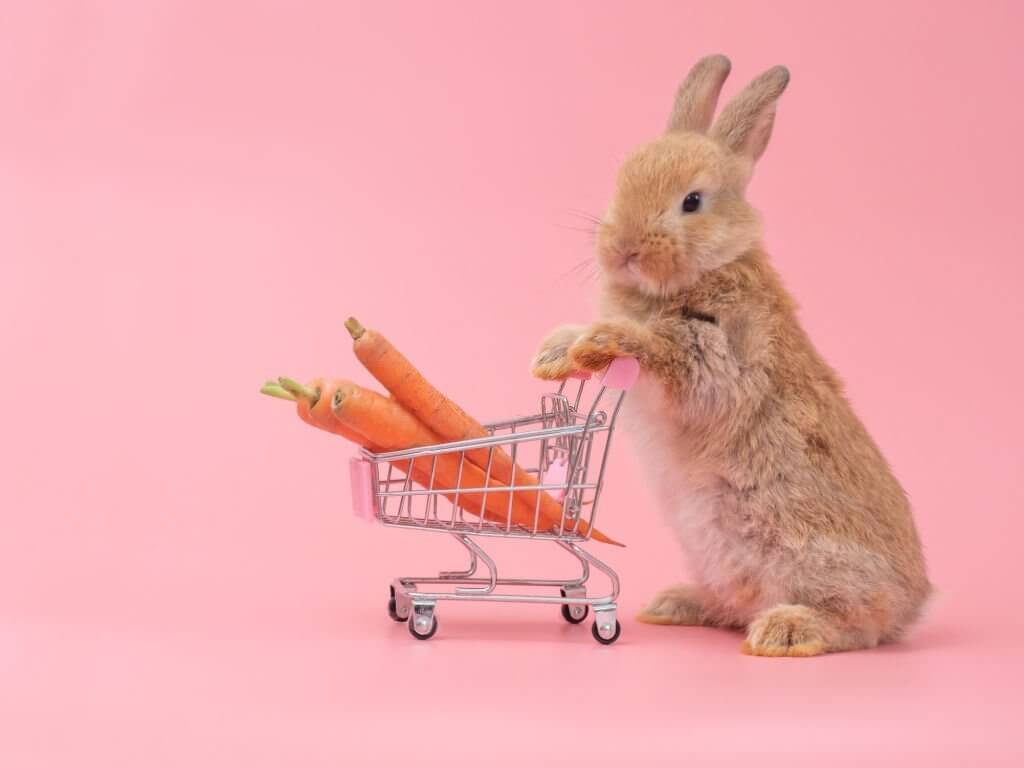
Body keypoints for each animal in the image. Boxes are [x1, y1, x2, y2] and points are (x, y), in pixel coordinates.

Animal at [532, 55, 930, 656]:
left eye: (692, 201)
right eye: (621, 181)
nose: (622, 249)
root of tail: (914, 604)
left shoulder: (722, 354)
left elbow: (666, 352)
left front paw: (603, 341)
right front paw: (555, 352)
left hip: (809, 550)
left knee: (856, 625)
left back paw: (786, 631)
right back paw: (675, 605)